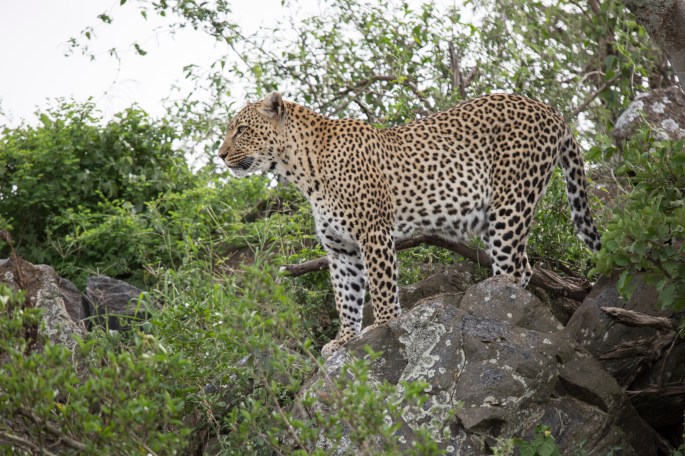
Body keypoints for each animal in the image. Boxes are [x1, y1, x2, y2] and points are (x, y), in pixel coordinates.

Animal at [218, 92, 601, 357]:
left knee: (515, 270)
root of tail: (550, 109)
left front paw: (383, 328)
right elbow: (347, 297)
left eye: (242, 130)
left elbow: (382, 288)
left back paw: (493, 310)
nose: (220, 155)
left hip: (511, 203)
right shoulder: (341, 250)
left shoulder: (373, 233)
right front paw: (344, 340)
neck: (301, 169)